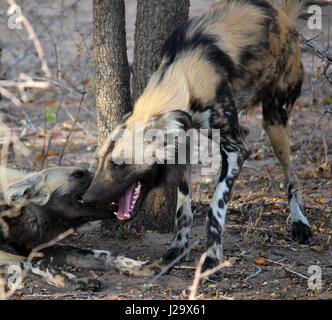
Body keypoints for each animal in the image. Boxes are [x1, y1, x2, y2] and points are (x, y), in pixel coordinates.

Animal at [0, 166, 161, 292]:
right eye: (78, 174)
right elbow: (36, 263)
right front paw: (73, 280)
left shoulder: (36, 245)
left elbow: (102, 255)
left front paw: (142, 266)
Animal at [82, 1, 312, 274]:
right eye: (99, 162)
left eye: (120, 164)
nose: (87, 199)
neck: (185, 76)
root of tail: (282, 14)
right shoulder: (182, 145)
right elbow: (183, 210)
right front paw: (177, 248)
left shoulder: (235, 151)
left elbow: (215, 211)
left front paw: (212, 258)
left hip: (275, 121)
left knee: (291, 174)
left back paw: (300, 223)